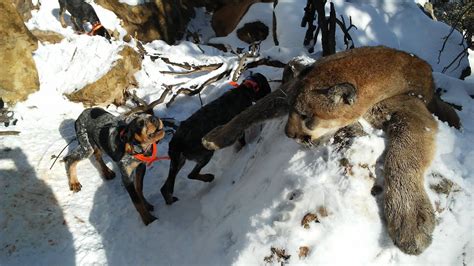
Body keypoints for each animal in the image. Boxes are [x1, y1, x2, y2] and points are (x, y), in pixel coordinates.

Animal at [160, 72, 270, 204]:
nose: (270, 93)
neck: (244, 91)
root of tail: (176, 142)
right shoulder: (239, 127)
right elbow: (242, 142)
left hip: (178, 161)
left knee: (164, 187)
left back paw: (170, 200)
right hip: (205, 154)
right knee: (191, 175)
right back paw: (209, 177)